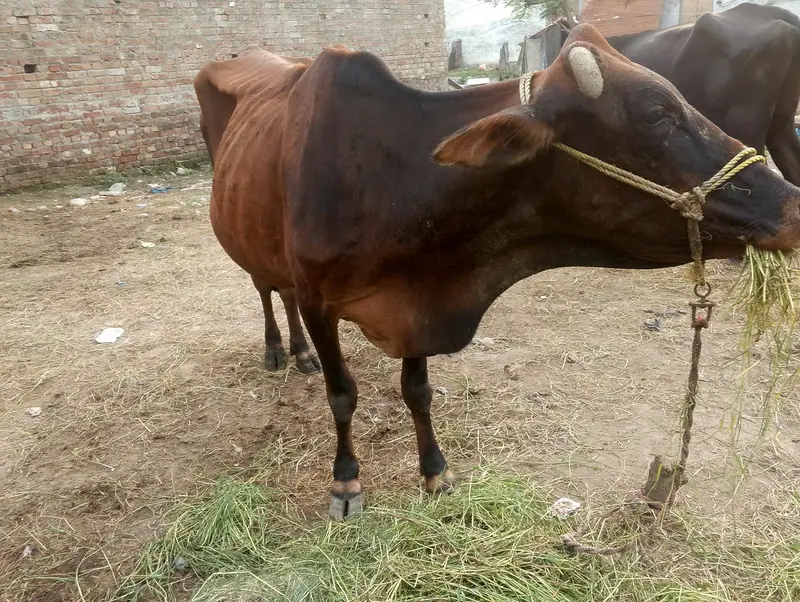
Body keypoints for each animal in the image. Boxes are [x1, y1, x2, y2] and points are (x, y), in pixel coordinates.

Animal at [195, 23, 800, 520]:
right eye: (656, 113)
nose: (793, 206)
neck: (395, 180)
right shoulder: (322, 301)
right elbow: (343, 395)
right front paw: (346, 483)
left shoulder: (415, 304)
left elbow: (418, 391)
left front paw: (435, 472)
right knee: (267, 288)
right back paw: (280, 349)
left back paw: (299, 354)